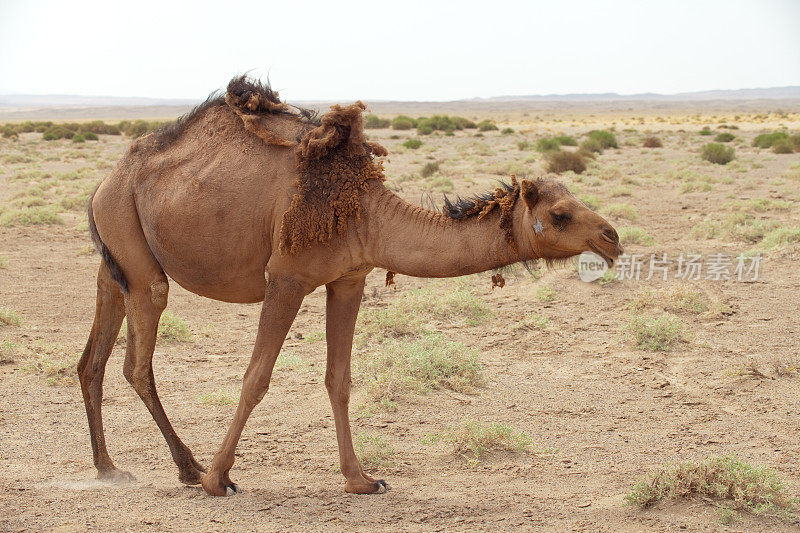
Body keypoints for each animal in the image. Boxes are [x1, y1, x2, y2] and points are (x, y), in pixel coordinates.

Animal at [78, 77, 620, 496]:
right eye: (560, 214)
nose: (612, 237)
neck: (365, 210)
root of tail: (104, 182)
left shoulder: (349, 279)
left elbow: (339, 380)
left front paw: (361, 479)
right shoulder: (288, 277)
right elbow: (256, 378)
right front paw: (219, 479)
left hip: (114, 260)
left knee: (92, 360)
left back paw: (108, 468)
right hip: (139, 258)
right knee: (137, 361)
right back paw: (189, 469)